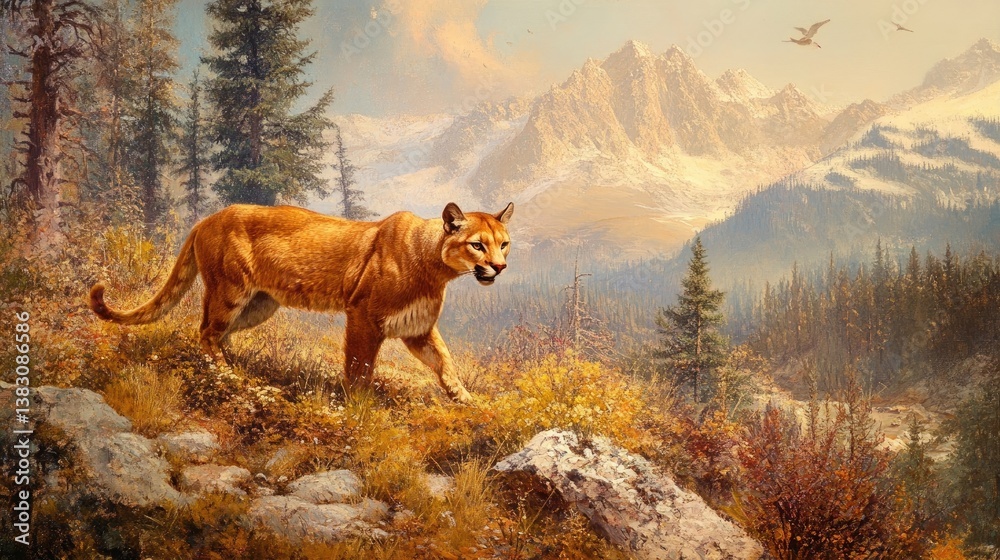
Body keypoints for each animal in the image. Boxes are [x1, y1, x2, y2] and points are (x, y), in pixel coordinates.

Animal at [89, 202, 513, 403]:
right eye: (477, 245)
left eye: (504, 243)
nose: (500, 266)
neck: (434, 268)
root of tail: (207, 218)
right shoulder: (363, 316)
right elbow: (359, 366)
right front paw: (359, 406)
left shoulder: (417, 328)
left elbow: (446, 363)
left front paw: (467, 401)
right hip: (230, 292)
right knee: (207, 330)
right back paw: (229, 376)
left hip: (258, 305)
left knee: (216, 333)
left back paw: (239, 367)